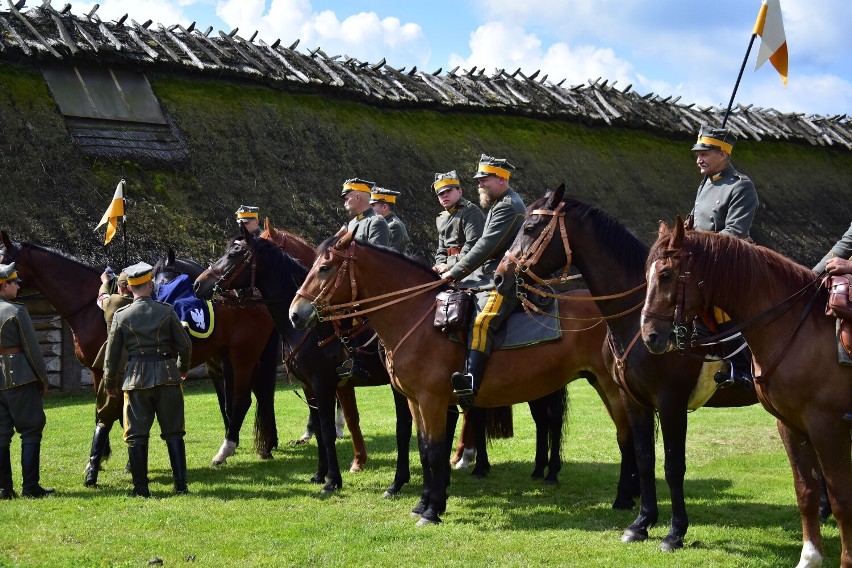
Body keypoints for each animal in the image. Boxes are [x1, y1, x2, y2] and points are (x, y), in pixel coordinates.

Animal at [0, 229, 278, 468]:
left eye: (4, 260)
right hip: (226, 361)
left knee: (244, 400)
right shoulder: (99, 371)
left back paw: (230, 450)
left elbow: (121, 414)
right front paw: (102, 455)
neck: (94, 309)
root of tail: (254, 300)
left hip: (243, 359)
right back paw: (261, 445)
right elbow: (102, 412)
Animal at [276, 232, 636, 528]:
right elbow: (423, 449)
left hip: (609, 387)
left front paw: (433, 510)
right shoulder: (414, 400)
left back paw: (624, 497)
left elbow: (435, 451)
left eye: (325, 267)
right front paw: (422, 503)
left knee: (624, 436)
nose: (295, 313)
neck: (417, 317)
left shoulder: (432, 400)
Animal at [492, 185, 760, 552]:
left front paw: (675, 532)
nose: (500, 276)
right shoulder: (635, 400)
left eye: (530, 228)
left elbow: (673, 465)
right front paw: (642, 523)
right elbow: (645, 457)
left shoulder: (671, 402)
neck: (639, 317)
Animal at [644, 217, 848, 568]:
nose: (649, 336)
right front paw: (810, 557)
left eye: (666, 274)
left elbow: (841, 500)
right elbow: (805, 492)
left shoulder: (828, 428)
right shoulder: (791, 426)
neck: (799, 329)